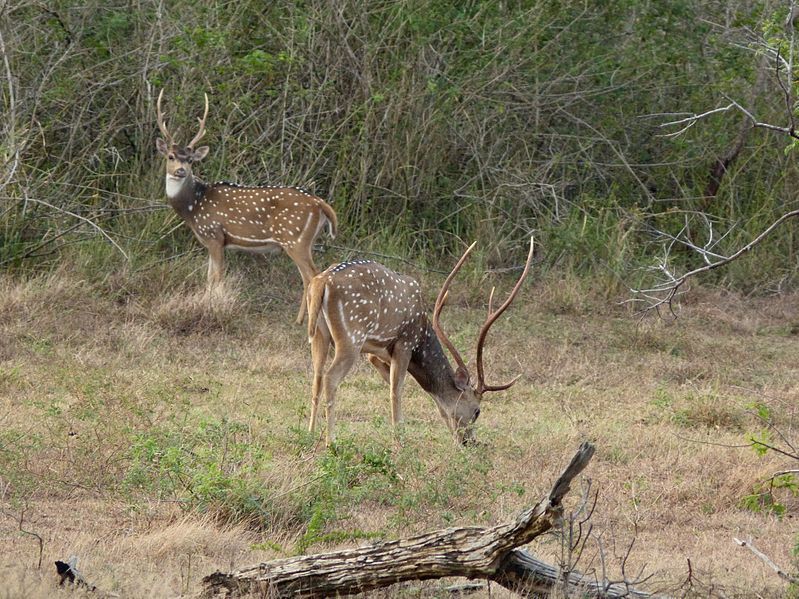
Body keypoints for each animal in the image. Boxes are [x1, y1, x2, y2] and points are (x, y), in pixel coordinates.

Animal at [154, 90, 338, 324]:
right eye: (171, 156)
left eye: (190, 160)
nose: (181, 171)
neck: (193, 207)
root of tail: (320, 204)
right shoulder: (212, 241)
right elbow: (208, 277)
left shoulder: (214, 234)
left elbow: (217, 276)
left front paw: (213, 306)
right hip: (306, 242)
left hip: (295, 239)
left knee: (311, 275)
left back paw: (301, 320)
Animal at [310, 239, 536, 446]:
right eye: (477, 411)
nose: (469, 441)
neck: (422, 340)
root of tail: (322, 282)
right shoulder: (405, 342)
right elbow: (396, 390)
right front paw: (399, 439)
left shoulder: (376, 352)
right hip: (352, 336)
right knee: (330, 377)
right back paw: (331, 441)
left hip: (320, 334)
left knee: (317, 377)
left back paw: (310, 434)